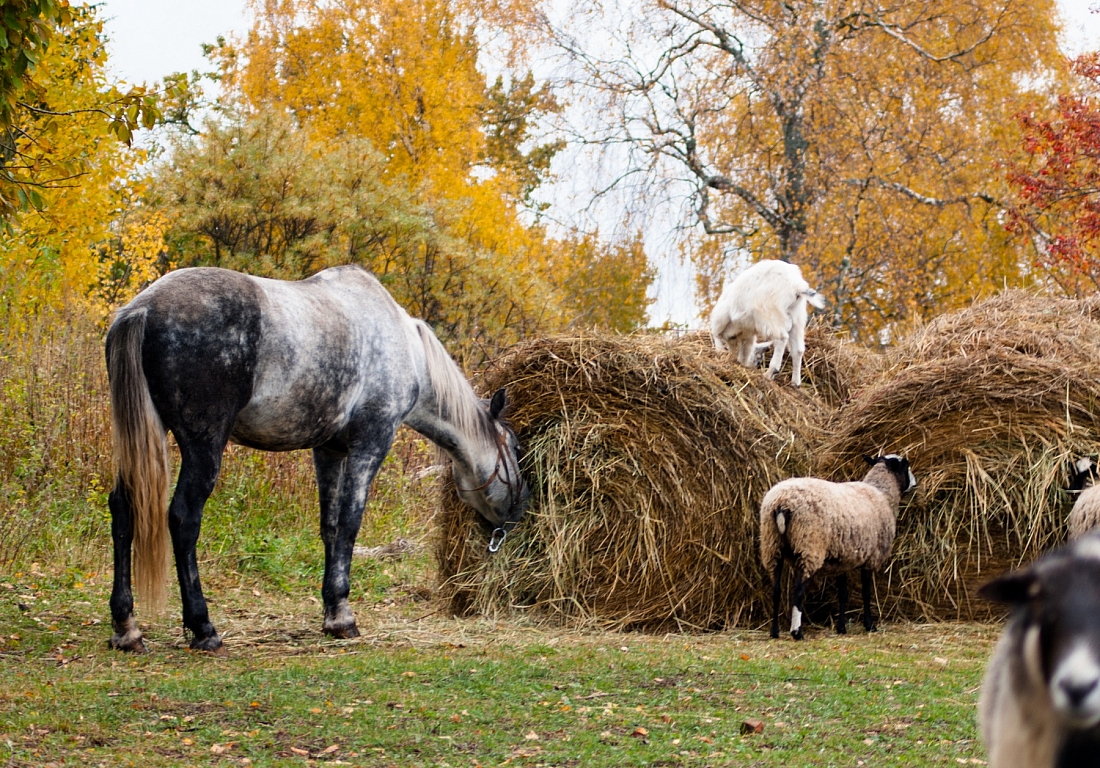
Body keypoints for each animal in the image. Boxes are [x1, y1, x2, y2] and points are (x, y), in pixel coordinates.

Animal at [107, 265, 528, 651]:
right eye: (517, 448)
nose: (522, 509)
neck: (408, 348)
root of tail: (144, 308)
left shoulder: (328, 451)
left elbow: (330, 527)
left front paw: (330, 610)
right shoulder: (370, 444)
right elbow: (350, 525)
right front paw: (343, 616)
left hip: (144, 439)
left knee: (124, 509)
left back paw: (127, 628)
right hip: (203, 445)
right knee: (183, 518)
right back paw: (203, 628)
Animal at [704, 258, 827, 389]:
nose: (756, 364)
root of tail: (796, 285)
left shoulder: (720, 321)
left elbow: (718, 337)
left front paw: (722, 354)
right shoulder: (746, 335)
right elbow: (744, 350)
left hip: (770, 313)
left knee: (781, 338)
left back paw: (770, 372)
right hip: (797, 318)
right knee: (798, 350)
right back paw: (795, 382)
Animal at [756, 457, 919, 638]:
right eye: (905, 465)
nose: (915, 483)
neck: (881, 493)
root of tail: (781, 504)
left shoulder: (842, 560)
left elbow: (843, 594)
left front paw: (841, 628)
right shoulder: (871, 558)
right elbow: (866, 593)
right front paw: (870, 625)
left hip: (772, 545)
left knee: (776, 589)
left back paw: (774, 631)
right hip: (809, 546)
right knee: (798, 590)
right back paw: (797, 632)